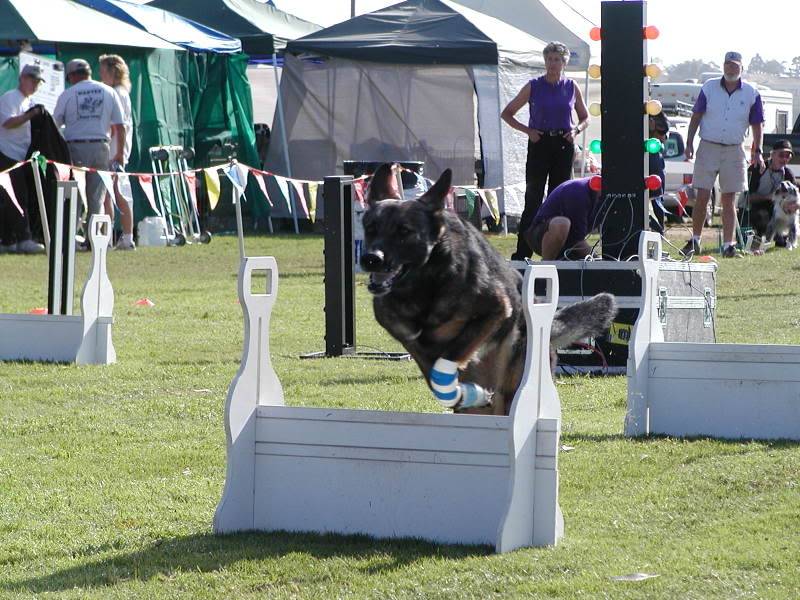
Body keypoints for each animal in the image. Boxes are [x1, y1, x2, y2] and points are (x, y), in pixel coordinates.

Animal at [360, 166, 616, 414]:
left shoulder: (495, 310)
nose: (370, 259)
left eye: (404, 231)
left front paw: (460, 387)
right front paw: (461, 391)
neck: (423, 286)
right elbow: (432, 371)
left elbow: (449, 357)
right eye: (371, 228)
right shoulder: (409, 340)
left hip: (512, 385)